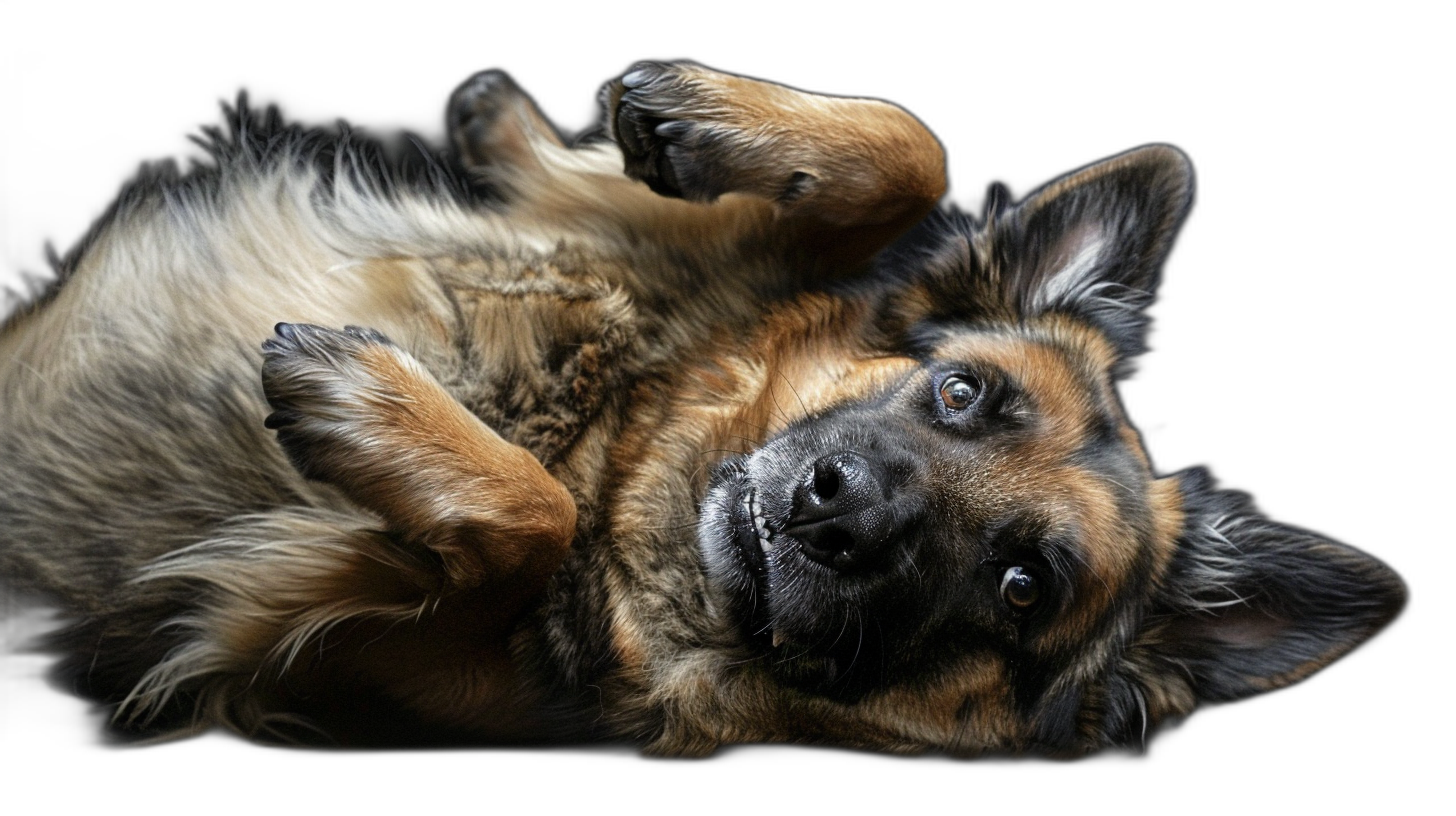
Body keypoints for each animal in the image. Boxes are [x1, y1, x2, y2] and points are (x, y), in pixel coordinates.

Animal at [2, 63, 1409, 757]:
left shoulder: (378, 669)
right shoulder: (666, 245)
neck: (621, 445)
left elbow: (529, 519)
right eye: (961, 392)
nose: (836, 516)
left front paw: (362, 401)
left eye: (1023, 586)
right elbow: (911, 150)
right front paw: (683, 113)